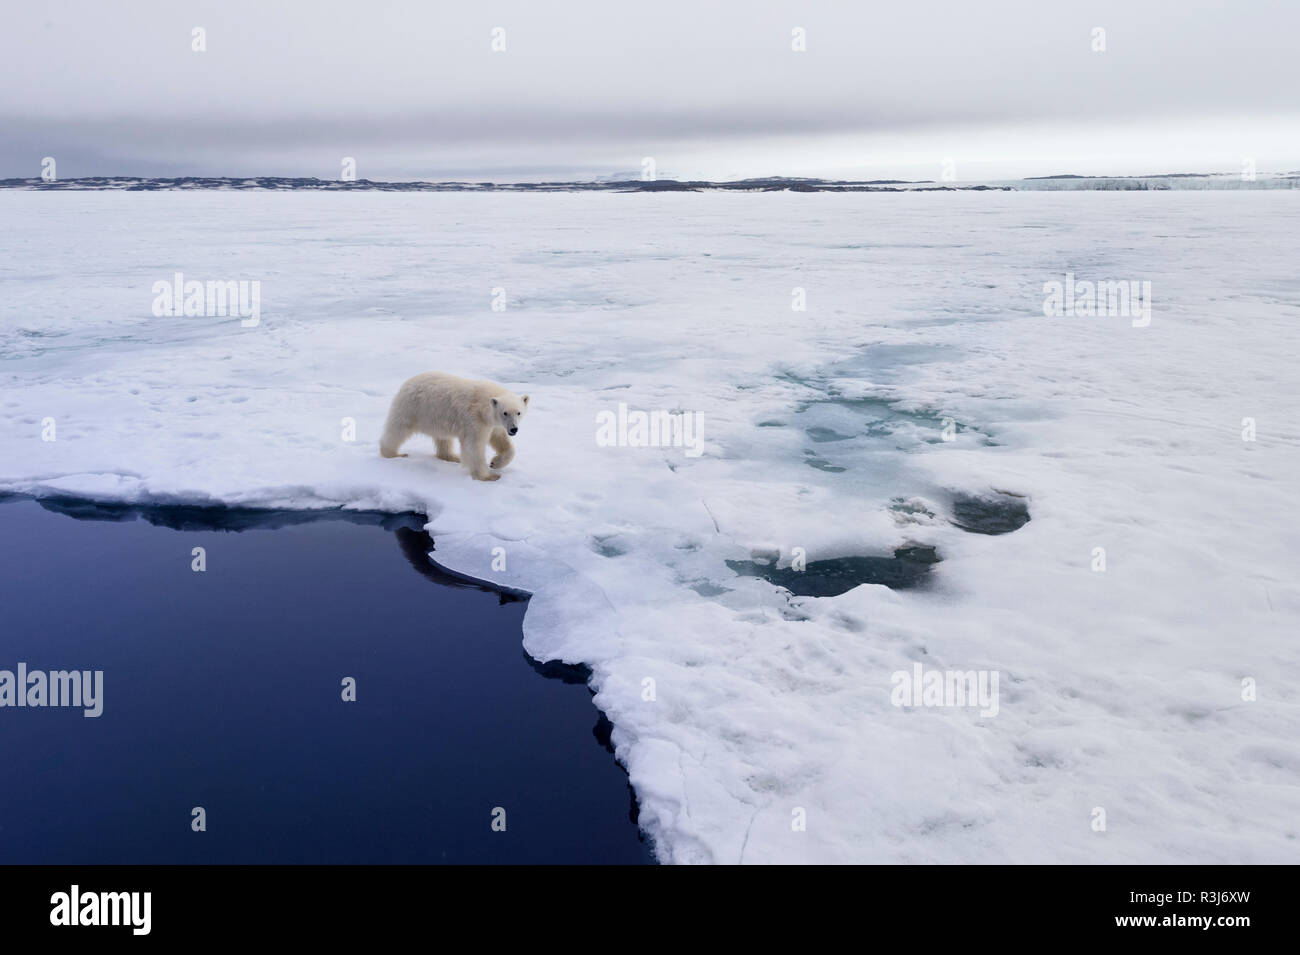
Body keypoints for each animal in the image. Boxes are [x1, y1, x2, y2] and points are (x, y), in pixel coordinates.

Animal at [379, 371, 530, 480]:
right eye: (505, 413)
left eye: (518, 412)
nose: (514, 429)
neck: (483, 405)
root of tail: (406, 383)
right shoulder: (474, 419)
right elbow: (474, 446)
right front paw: (488, 476)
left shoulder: (492, 424)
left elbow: (500, 439)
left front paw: (495, 463)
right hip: (412, 408)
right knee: (398, 429)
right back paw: (392, 453)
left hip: (436, 417)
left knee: (443, 439)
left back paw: (452, 457)